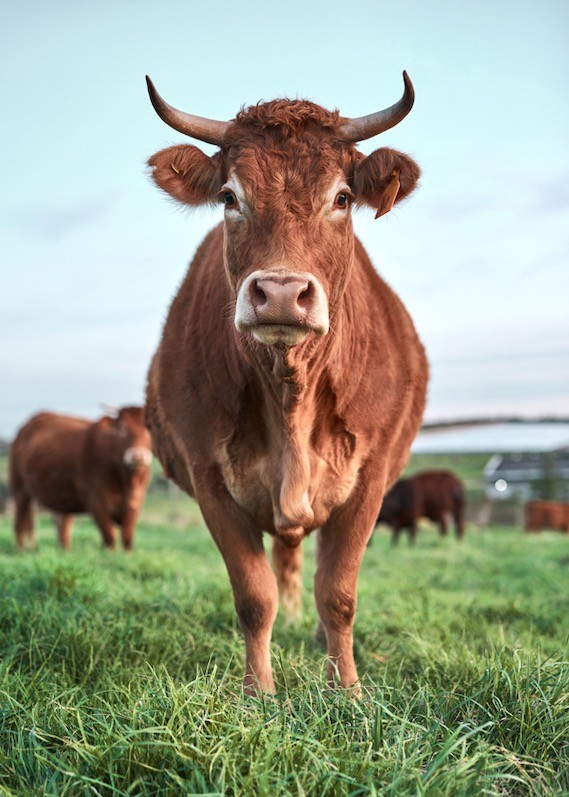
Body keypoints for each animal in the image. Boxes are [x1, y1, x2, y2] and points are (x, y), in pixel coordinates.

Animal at [10, 408, 152, 552]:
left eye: (149, 428)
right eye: (122, 428)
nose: (137, 456)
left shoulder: (136, 503)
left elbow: (127, 539)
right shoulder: (96, 501)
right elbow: (110, 537)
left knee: (60, 524)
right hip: (20, 489)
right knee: (20, 523)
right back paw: (19, 551)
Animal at [144, 71, 428, 692]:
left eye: (341, 198)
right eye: (230, 197)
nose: (278, 293)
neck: (289, 390)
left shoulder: (370, 479)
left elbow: (339, 594)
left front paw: (347, 691)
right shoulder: (209, 477)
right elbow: (255, 597)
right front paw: (259, 692)